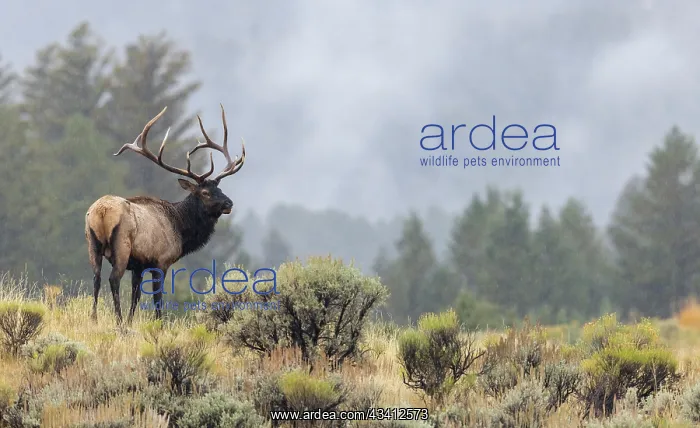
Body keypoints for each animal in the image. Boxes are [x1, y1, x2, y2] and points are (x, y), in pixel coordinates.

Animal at [85, 104, 245, 325]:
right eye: (205, 192)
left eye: (219, 188)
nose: (229, 203)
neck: (180, 229)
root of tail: (101, 211)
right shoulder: (161, 261)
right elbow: (157, 298)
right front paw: (157, 324)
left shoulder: (138, 265)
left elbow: (135, 296)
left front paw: (131, 322)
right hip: (122, 246)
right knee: (113, 279)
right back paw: (118, 321)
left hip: (93, 245)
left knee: (96, 278)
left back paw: (94, 318)